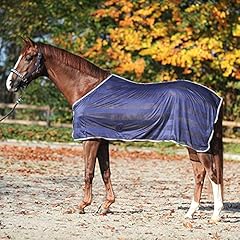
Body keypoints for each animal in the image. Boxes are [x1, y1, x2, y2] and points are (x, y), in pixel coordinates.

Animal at [5, 38, 223, 223]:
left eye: (28, 57)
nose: (10, 83)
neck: (85, 87)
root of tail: (213, 97)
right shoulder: (102, 139)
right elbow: (105, 172)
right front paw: (106, 206)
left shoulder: (91, 139)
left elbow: (88, 172)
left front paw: (82, 205)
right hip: (194, 145)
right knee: (200, 174)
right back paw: (190, 213)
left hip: (198, 144)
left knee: (212, 173)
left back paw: (216, 215)